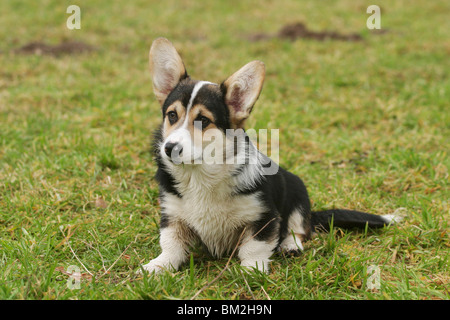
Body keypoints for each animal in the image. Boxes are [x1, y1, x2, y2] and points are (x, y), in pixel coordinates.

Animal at [142, 37, 400, 272]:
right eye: (172, 115)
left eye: (203, 120)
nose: (169, 148)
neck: (201, 175)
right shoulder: (173, 215)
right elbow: (171, 245)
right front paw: (157, 266)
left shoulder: (263, 216)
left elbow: (253, 247)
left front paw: (252, 271)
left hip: (298, 194)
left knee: (298, 229)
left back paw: (290, 245)